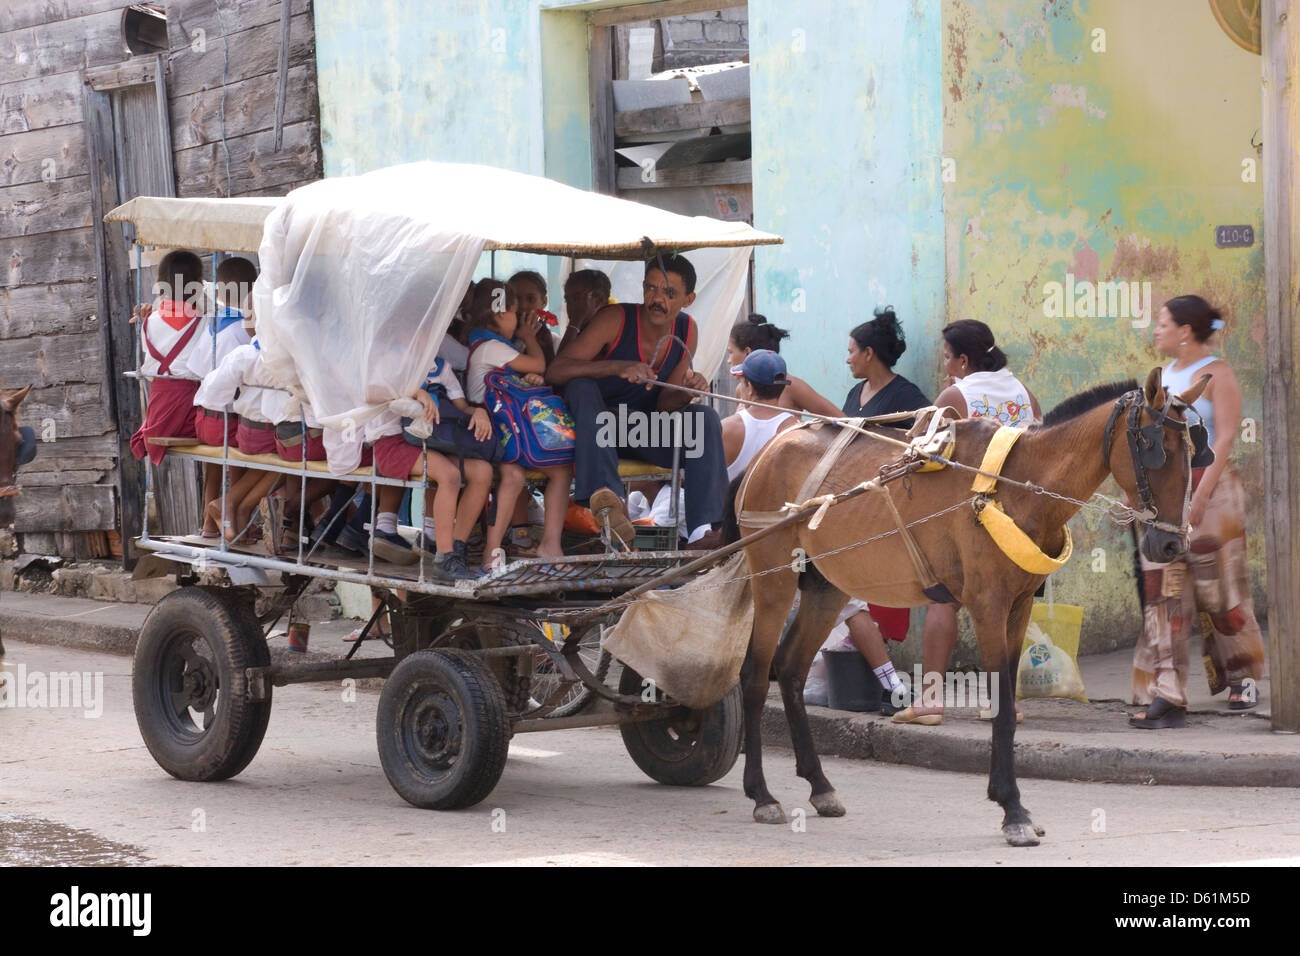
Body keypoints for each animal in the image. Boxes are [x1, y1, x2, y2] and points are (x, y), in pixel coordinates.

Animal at [738, 366, 1201, 842]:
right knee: (754, 674)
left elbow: (1007, 704)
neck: (1019, 485)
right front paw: (1013, 810)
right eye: (1155, 448)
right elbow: (1001, 706)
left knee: (790, 670)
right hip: (772, 577)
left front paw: (1011, 802)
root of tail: (774, 444)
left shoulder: (1018, 606)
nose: (1172, 545)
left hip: (825, 586)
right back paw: (761, 794)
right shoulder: (987, 605)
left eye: (1194, 451)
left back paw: (819, 784)